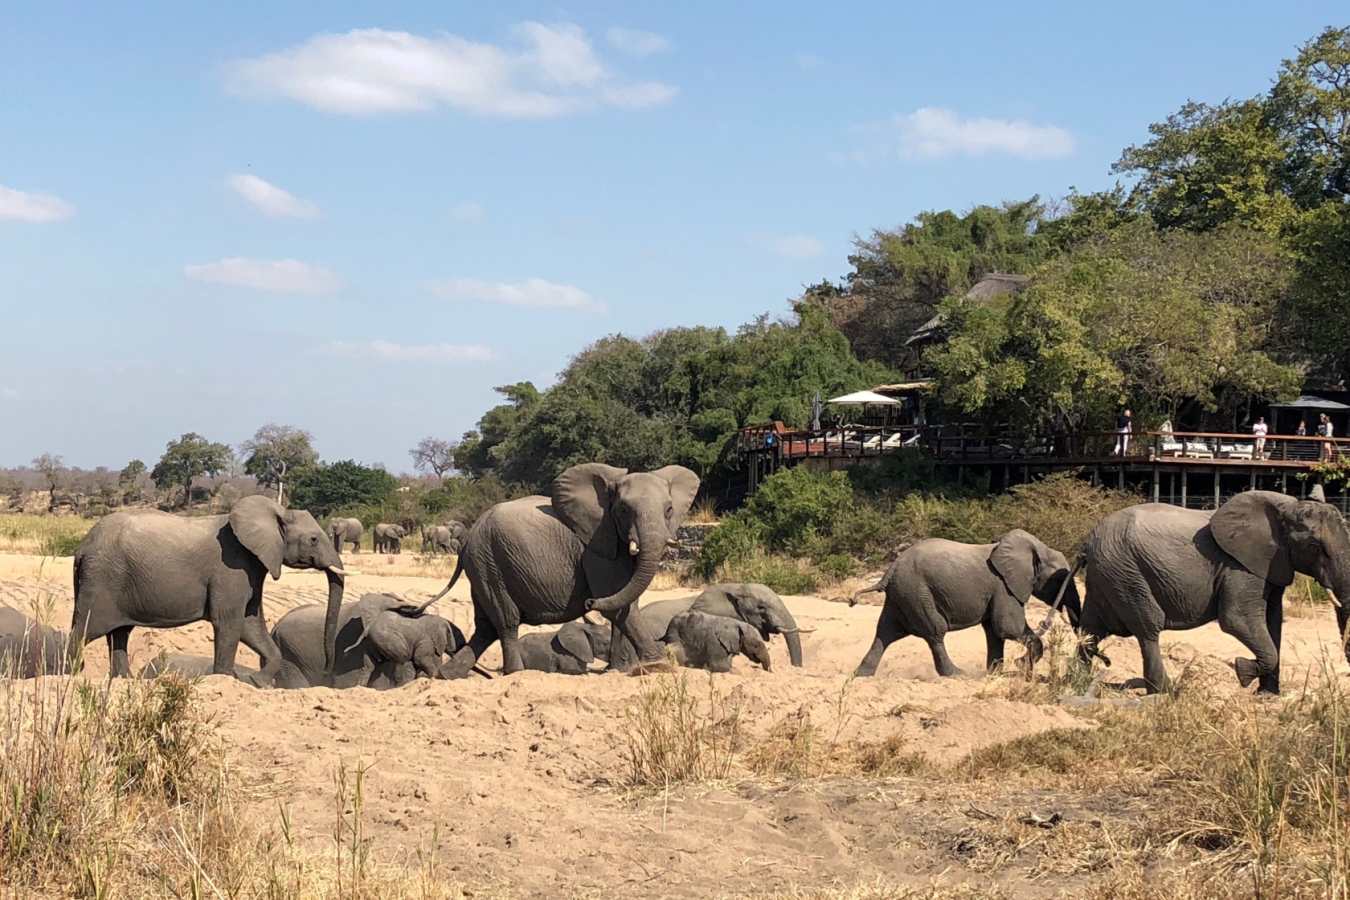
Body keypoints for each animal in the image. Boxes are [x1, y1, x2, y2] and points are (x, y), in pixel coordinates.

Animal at [70, 495, 346, 685]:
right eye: (313, 539)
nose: (327, 669)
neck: (274, 511)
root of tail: (82, 547)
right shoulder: (232, 568)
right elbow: (229, 622)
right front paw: (226, 678)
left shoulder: (251, 569)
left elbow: (250, 623)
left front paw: (256, 682)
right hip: (100, 579)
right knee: (84, 630)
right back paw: (70, 674)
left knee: (119, 634)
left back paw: (123, 680)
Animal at [432, 462, 699, 677]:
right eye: (623, 510)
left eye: (669, 510)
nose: (588, 601)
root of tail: (468, 540)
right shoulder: (596, 546)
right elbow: (618, 605)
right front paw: (659, 666)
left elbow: (623, 602)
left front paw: (617, 670)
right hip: (490, 563)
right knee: (506, 621)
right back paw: (516, 674)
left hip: (483, 567)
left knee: (485, 627)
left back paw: (447, 675)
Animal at [852, 529, 1080, 678]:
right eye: (1060, 580)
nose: (1021, 663)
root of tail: (889, 570)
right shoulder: (1003, 587)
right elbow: (1007, 627)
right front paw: (1020, 666)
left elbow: (995, 632)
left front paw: (995, 674)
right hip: (916, 593)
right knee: (935, 631)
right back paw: (956, 674)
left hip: (902, 595)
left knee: (885, 632)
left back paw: (861, 675)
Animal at [1078, 491, 1350, 694]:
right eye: (1315, 546)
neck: (1286, 506)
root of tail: (1087, 542)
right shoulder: (1240, 567)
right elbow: (1236, 619)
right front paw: (1243, 671)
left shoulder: (1273, 566)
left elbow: (1273, 621)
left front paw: (1267, 695)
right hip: (1126, 572)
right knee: (1148, 628)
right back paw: (1165, 692)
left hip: (1107, 575)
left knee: (1090, 630)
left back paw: (1077, 679)